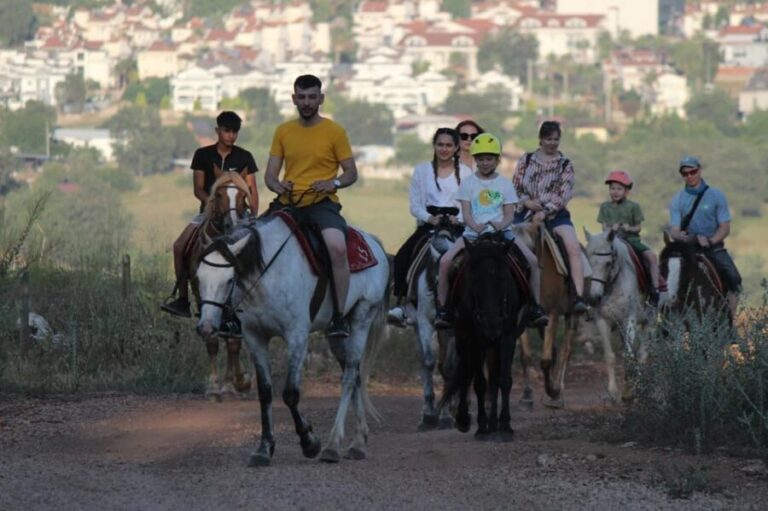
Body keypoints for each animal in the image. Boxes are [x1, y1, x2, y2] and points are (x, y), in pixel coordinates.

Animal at [189, 170, 253, 401]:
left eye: (243, 196)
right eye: (218, 195)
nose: (231, 223)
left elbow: (233, 341)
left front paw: (236, 383)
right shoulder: (202, 296)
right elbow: (213, 340)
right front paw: (215, 386)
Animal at [195, 214, 389, 466]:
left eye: (229, 280)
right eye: (199, 277)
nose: (207, 327)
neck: (267, 273)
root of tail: (374, 243)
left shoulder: (296, 336)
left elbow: (290, 393)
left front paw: (310, 442)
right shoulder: (255, 337)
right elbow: (265, 392)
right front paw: (264, 448)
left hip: (361, 318)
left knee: (348, 378)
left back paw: (333, 445)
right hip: (336, 336)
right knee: (354, 375)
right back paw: (358, 442)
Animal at [439, 232, 528, 441]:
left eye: (503, 279)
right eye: (473, 280)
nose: (491, 325)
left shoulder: (507, 336)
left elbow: (504, 380)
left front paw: (505, 426)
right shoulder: (472, 338)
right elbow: (478, 382)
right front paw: (478, 426)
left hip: (493, 344)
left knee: (493, 380)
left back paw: (494, 424)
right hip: (466, 339)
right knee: (467, 373)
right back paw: (468, 420)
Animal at [583, 229, 652, 402]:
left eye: (608, 263)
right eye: (588, 261)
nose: (594, 298)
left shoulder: (630, 319)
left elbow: (629, 354)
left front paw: (630, 391)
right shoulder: (603, 321)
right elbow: (610, 356)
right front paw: (613, 391)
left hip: (649, 320)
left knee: (642, 353)